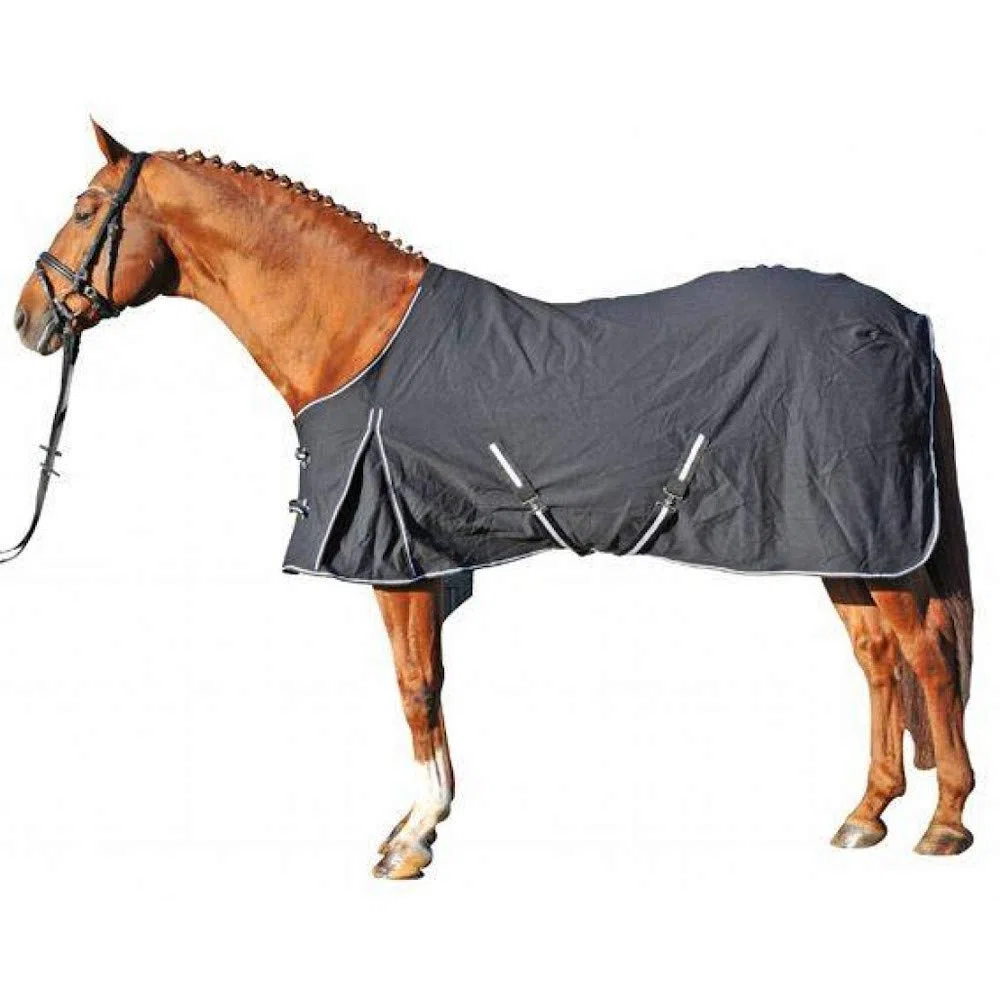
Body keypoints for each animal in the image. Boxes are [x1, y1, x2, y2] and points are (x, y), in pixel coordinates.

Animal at [10, 121, 975, 878]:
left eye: (87, 209)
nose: (27, 320)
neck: (360, 334)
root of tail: (908, 322)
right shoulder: (423, 558)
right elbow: (428, 683)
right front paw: (419, 823)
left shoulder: (393, 556)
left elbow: (415, 686)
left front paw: (413, 837)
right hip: (838, 539)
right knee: (877, 659)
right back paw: (865, 816)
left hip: (874, 534)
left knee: (926, 653)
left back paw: (945, 823)